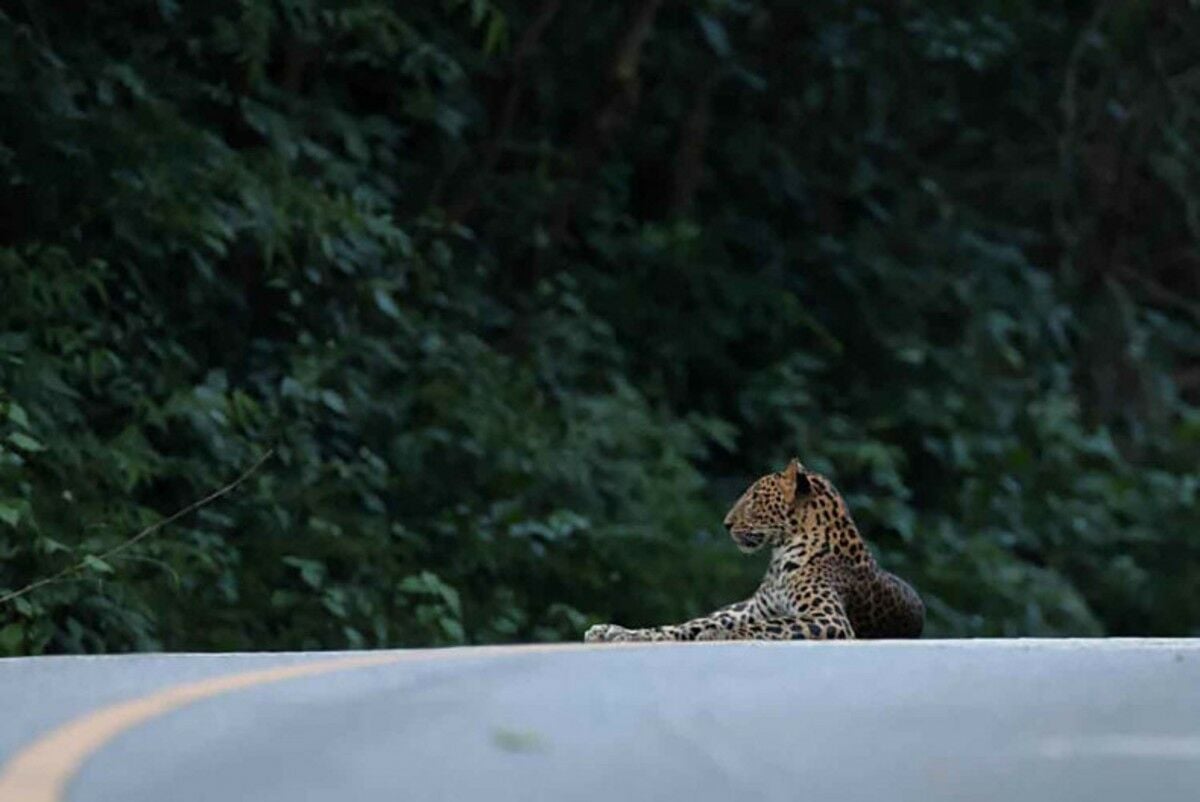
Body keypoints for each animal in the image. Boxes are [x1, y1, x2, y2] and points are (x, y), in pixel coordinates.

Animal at [585, 461, 921, 643]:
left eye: (754, 498)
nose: (726, 524)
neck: (780, 557)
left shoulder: (828, 617)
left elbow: (769, 626)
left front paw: (717, 637)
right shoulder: (753, 610)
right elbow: (695, 625)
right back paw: (610, 631)